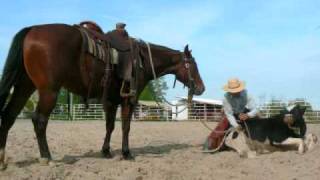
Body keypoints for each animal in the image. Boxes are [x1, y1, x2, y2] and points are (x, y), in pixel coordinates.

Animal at [0, 22, 205, 167]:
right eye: (193, 65)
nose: (201, 88)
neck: (143, 60)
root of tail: (32, 30)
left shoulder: (111, 101)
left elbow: (110, 126)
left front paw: (106, 151)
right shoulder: (129, 100)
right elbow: (125, 127)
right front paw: (126, 153)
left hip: (24, 87)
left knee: (9, 115)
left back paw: (2, 159)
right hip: (49, 91)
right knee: (39, 120)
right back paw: (47, 158)